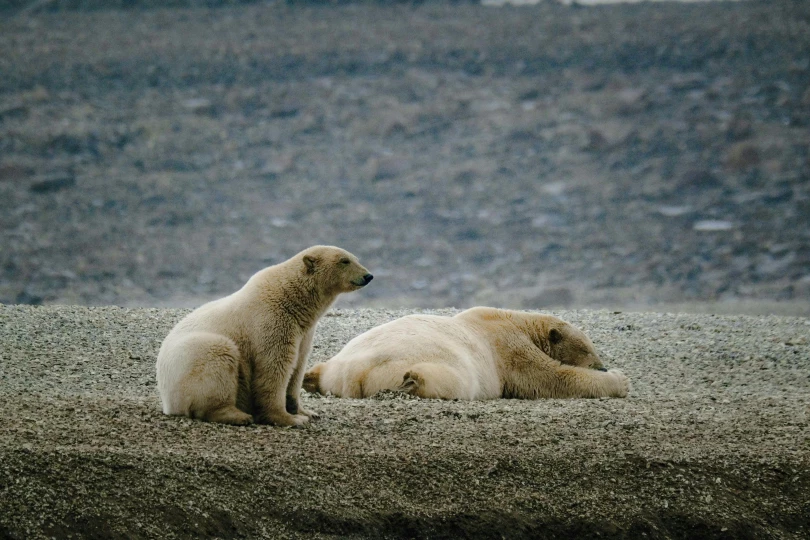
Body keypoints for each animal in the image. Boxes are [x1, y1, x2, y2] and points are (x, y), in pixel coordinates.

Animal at [153, 245, 370, 426]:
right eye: (344, 261)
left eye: (355, 258)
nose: (368, 276)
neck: (292, 300)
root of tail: (166, 400)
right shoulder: (271, 322)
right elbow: (274, 367)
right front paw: (289, 419)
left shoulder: (303, 331)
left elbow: (298, 367)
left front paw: (307, 412)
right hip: (195, 357)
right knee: (218, 361)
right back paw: (238, 415)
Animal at [304, 306, 624, 398]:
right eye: (588, 348)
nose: (601, 366)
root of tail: (352, 374)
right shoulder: (507, 347)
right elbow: (550, 379)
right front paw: (619, 378)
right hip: (440, 366)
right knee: (446, 379)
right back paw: (412, 382)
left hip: (338, 363)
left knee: (320, 368)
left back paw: (309, 377)